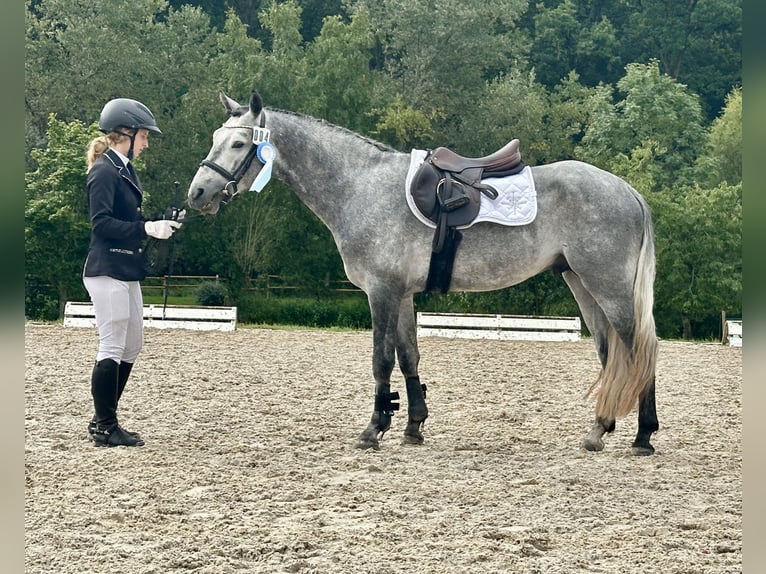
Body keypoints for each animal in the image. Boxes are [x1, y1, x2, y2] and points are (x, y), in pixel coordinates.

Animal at [187, 91, 659, 456]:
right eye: (214, 139)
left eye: (237, 144)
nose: (198, 194)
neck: (359, 186)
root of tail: (627, 190)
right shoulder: (403, 295)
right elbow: (409, 357)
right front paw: (413, 426)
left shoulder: (381, 291)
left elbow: (381, 359)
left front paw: (374, 429)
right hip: (582, 285)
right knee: (610, 353)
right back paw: (600, 429)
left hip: (608, 287)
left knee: (640, 350)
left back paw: (642, 435)